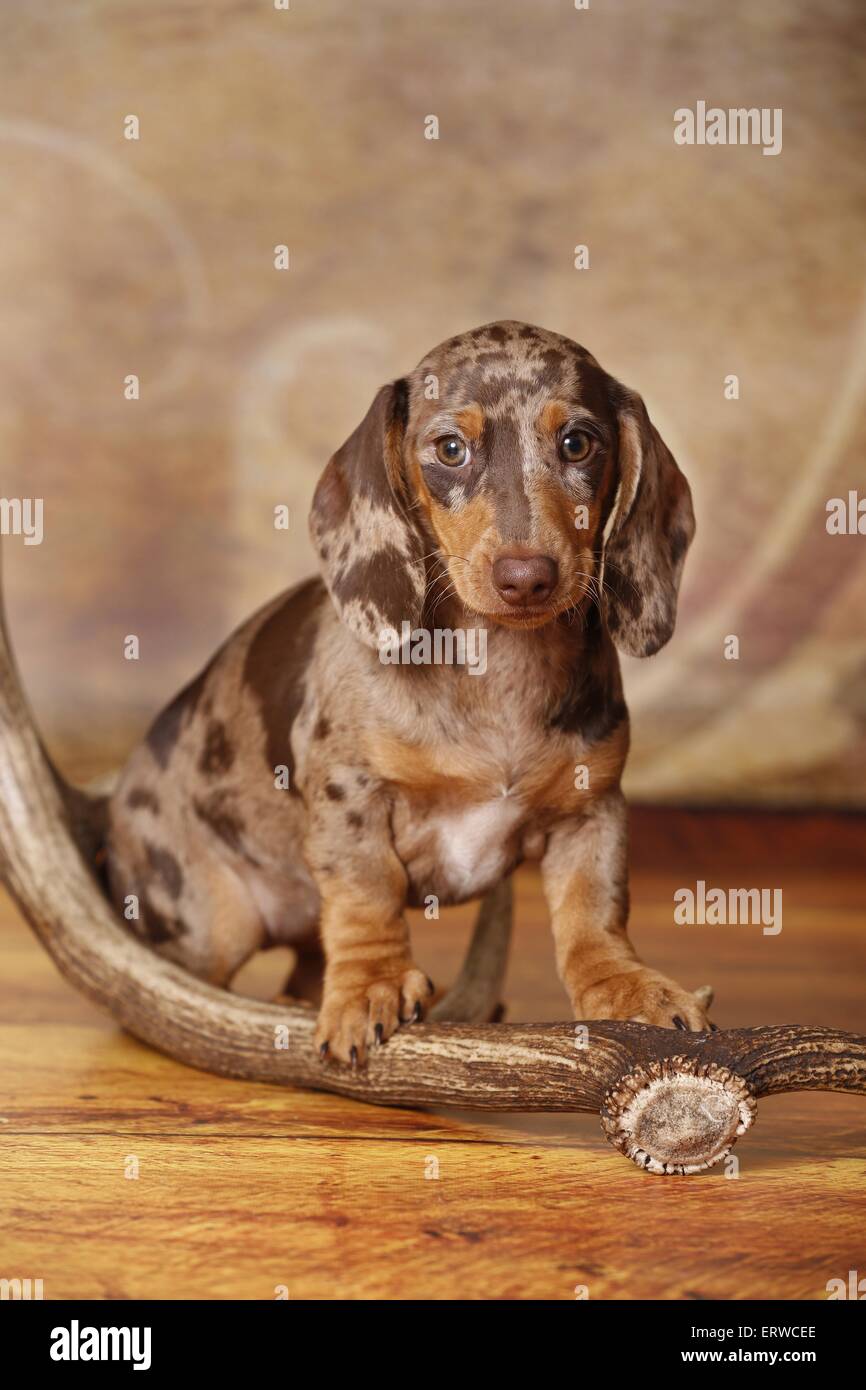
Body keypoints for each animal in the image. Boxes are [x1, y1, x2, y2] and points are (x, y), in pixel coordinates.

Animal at [104, 322, 708, 1061]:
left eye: (578, 443)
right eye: (450, 448)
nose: (526, 577)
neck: (498, 669)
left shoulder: (591, 808)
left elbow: (594, 908)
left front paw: (626, 988)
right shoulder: (351, 794)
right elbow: (368, 889)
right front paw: (373, 986)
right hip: (213, 922)